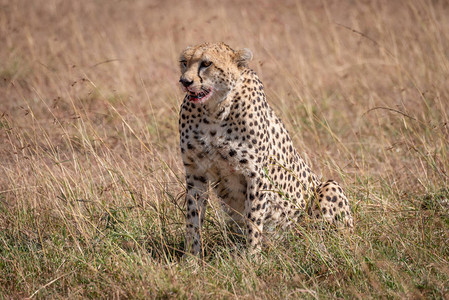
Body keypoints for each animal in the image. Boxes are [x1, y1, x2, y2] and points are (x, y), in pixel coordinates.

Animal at [177, 41, 352, 254]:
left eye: (206, 63)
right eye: (184, 62)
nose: (185, 81)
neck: (214, 111)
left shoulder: (256, 174)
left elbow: (253, 219)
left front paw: (252, 257)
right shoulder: (196, 171)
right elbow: (193, 218)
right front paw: (191, 257)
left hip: (328, 189)